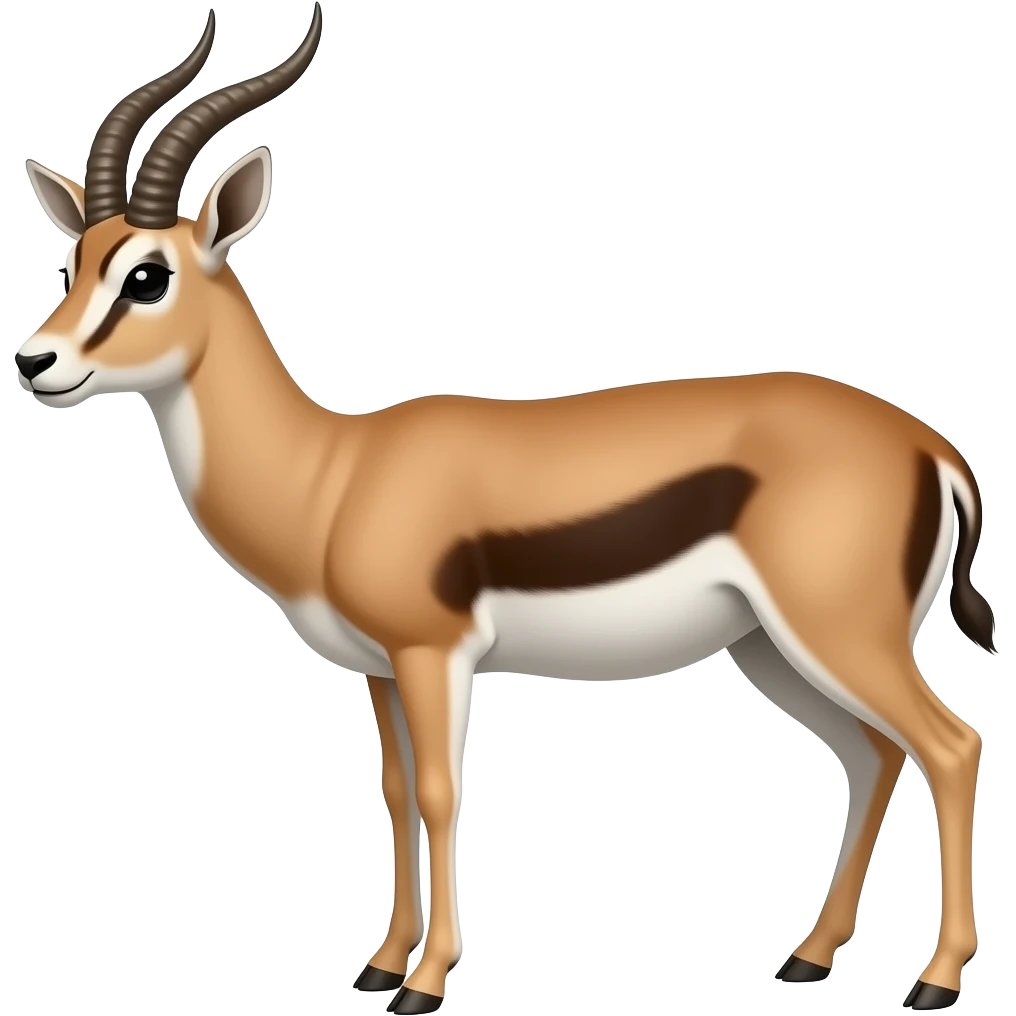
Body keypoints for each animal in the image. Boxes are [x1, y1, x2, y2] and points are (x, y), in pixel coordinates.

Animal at [16, 6, 995, 1014]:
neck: (333, 475)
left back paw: (936, 980)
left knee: (950, 746)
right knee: (873, 756)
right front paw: (380, 963)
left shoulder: (434, 651)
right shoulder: (379, 670)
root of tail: (930, 446)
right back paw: (809, 956)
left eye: (147, 275)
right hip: (773, 647)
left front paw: (425, 981)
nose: (34, 362)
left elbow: (441, 793)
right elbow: (394, 791)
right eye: (73, 258)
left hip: (839, 633)